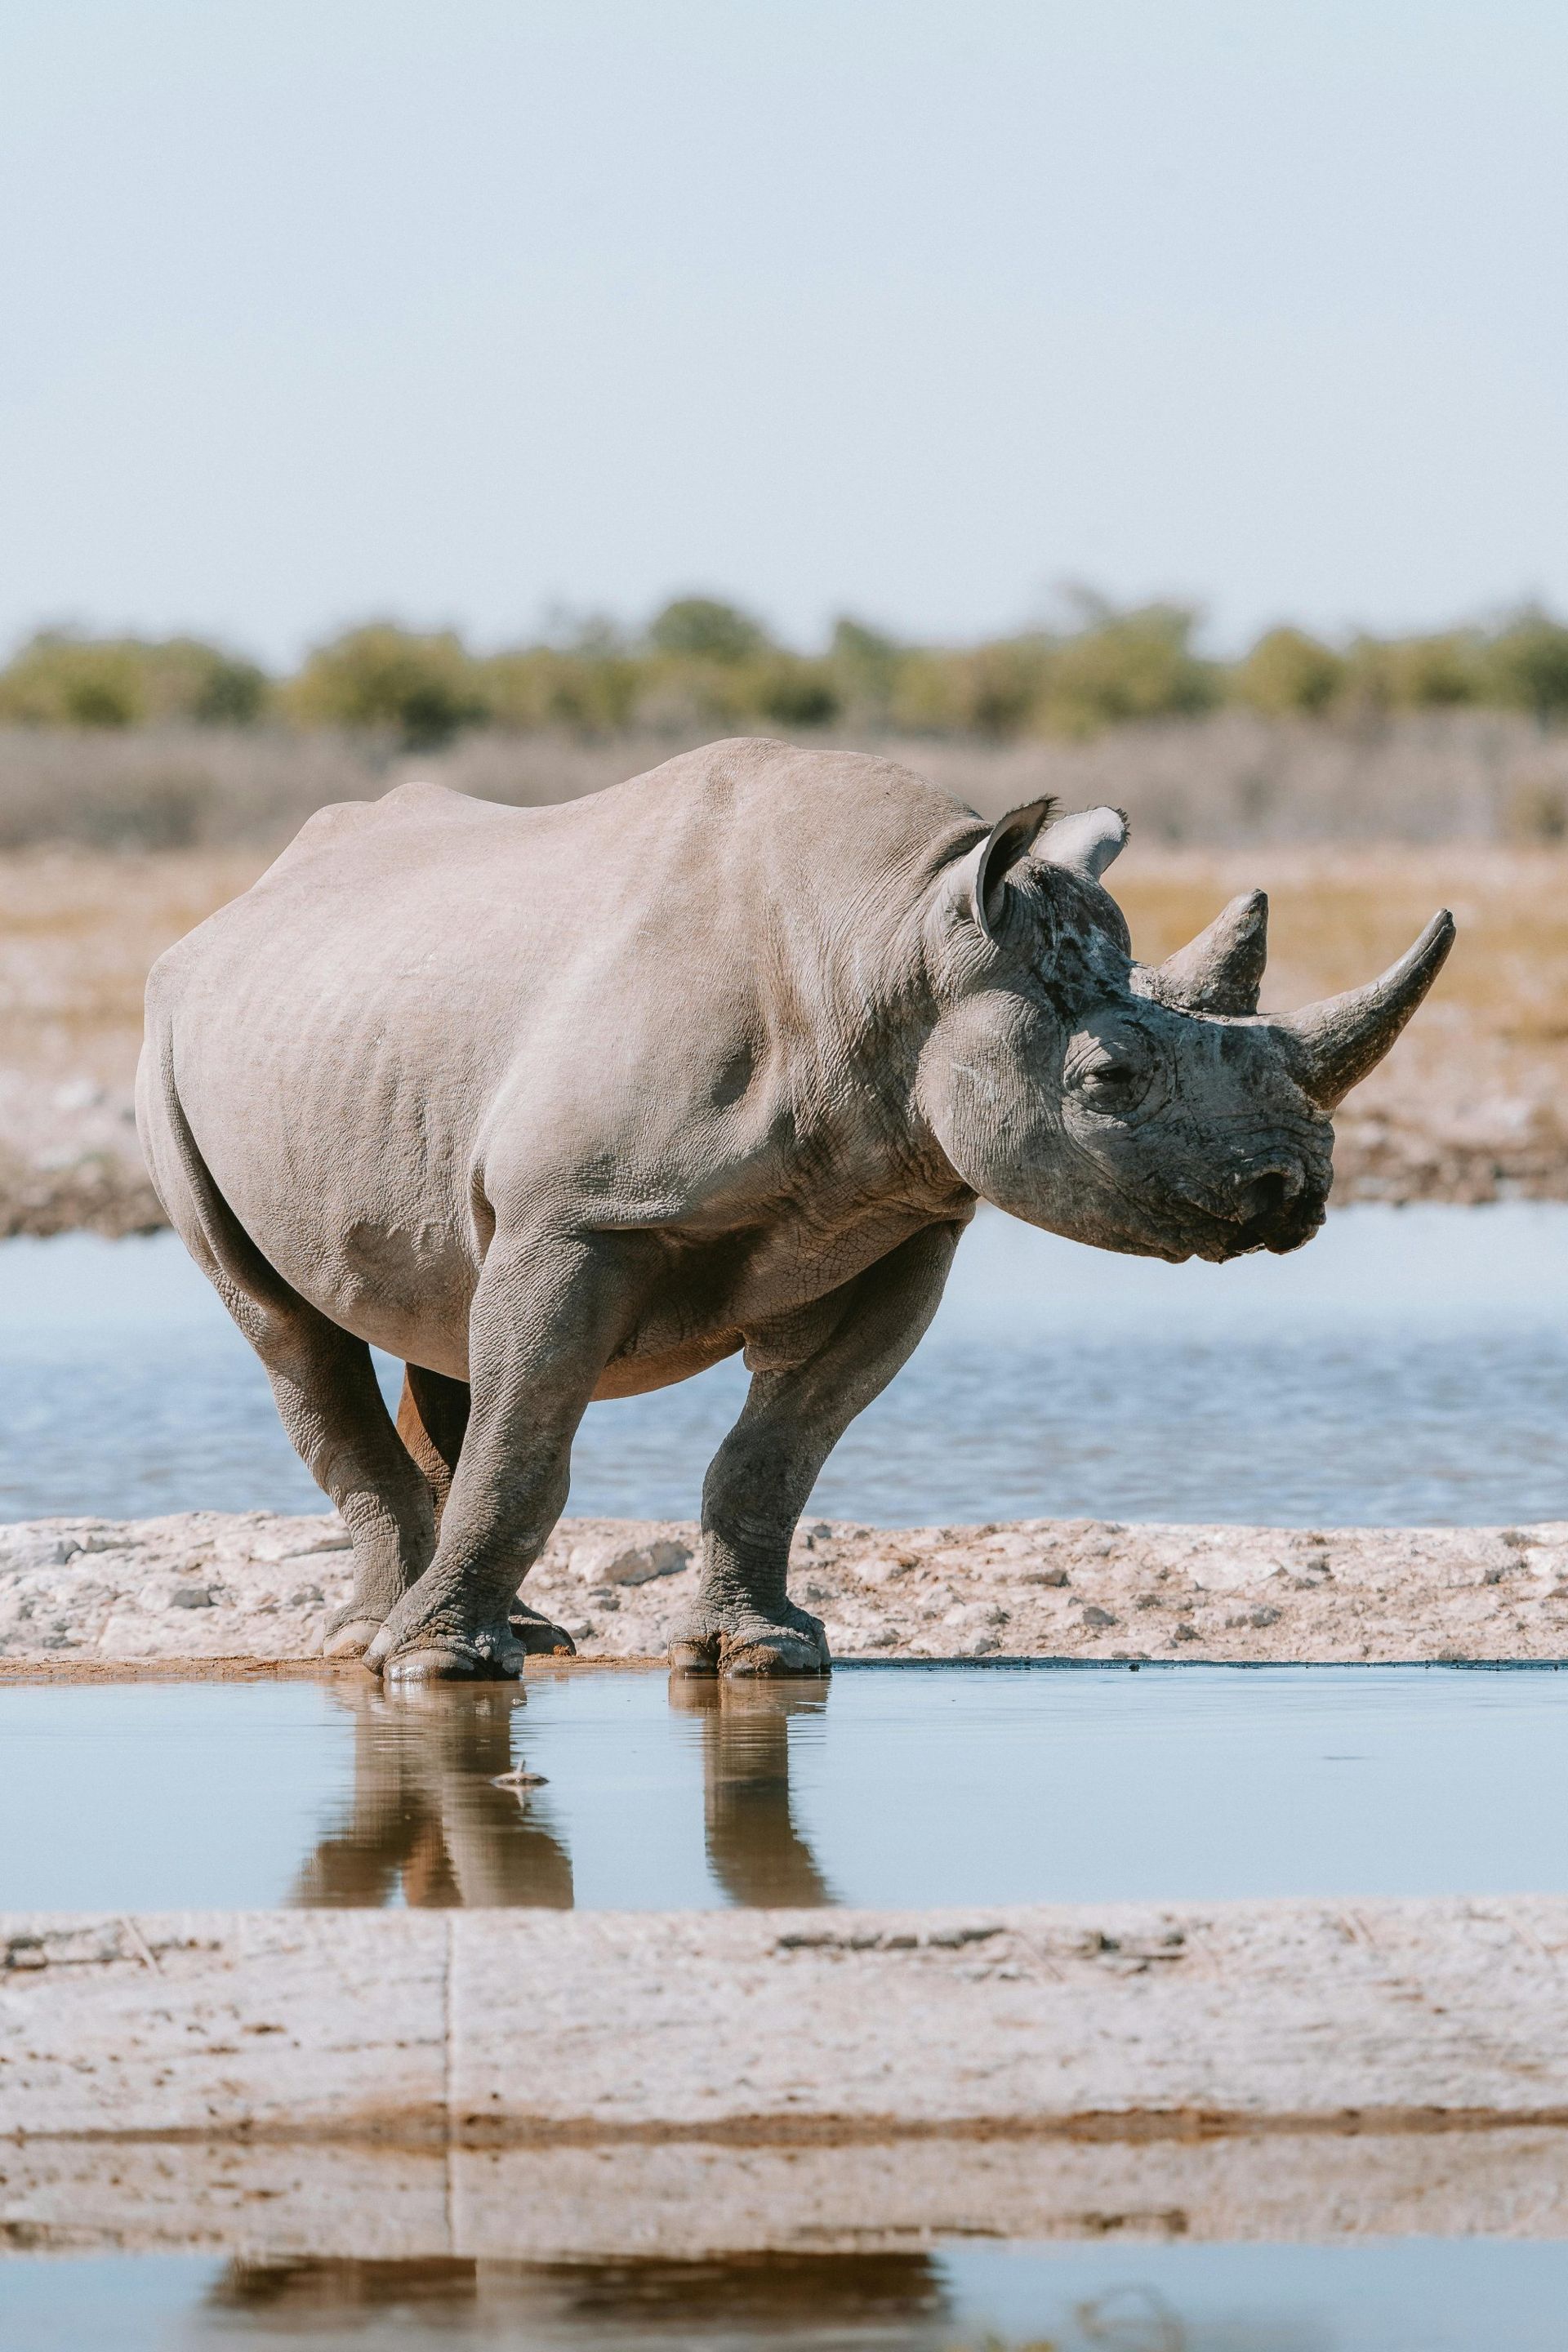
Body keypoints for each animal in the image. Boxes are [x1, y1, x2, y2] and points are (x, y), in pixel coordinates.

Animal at [137, 738, 1452, 1682]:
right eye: (1110, 1080)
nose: (1288, 1193)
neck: (894, 939)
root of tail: (241, 904)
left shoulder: (907, 1219)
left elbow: (778, 1453)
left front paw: (763, 1656)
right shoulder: (581, 1213)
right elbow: (530, 1444)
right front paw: (437, 1673)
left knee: (438, 1310)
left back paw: (507, 1634)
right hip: (171, 1036)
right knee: (288, 1330)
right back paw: (378, 1645)